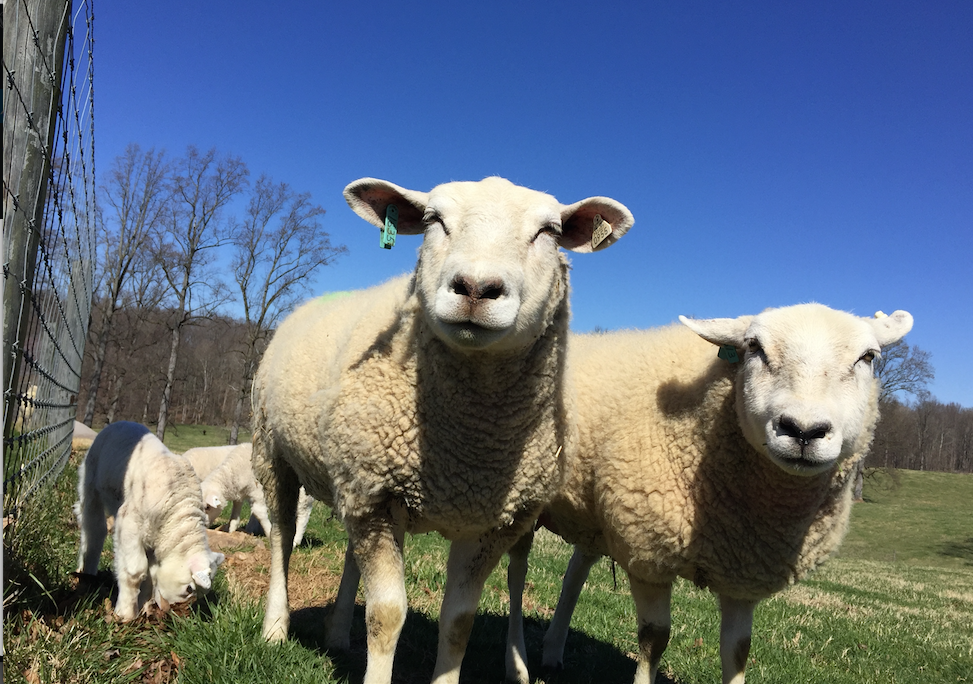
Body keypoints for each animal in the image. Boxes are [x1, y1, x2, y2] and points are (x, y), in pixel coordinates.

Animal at [74, 421, 224, 621]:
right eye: (189, 588)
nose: (169, 611)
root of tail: (121, 422)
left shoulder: (157, 541)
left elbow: (152, 576)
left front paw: (144, 609)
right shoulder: (129, 524)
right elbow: (136, 571)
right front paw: (126, 614)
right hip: (90, 480)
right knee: (94, 528)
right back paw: (87, 572)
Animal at [251, 176, 633, 684]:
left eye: (549, 232)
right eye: (434, 220)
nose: (475, 287)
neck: (467, 445)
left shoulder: (485, 520)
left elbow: (458, 622)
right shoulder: (376, 497)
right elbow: (386, 614)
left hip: (351, 480)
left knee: (350, 551)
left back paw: (337, 634)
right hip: (273, 453)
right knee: (281, 536)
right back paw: (275, 629)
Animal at [506, 304, 913, 684]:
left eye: (868, 357)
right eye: (754, 348)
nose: (803, 430)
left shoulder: (742, 573)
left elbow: (738, 650)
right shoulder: (648, 550)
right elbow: (655, 638)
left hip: (594, 513)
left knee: (576, 570)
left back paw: (552, 652)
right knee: (517, 572)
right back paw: (518, 666)